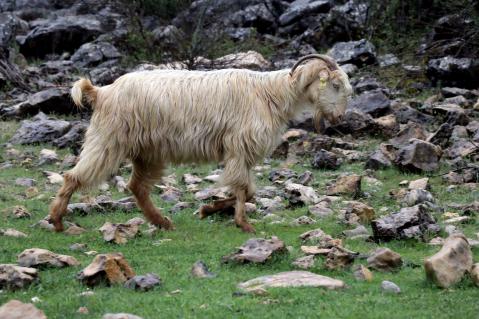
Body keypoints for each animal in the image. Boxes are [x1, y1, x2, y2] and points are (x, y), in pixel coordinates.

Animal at [49, 55, 352, 234]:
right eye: (335, 85)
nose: (339, 118)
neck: (272, 93)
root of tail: (102, 92)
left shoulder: (242, 153)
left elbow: (249, 192)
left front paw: (209, 209)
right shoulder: (239, 146)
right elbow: (243, 189)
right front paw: (243, 224)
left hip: (147, 152)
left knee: (137, 188)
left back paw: (162, 222)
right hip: (107, 141)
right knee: (74, 176)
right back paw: (58, 221)